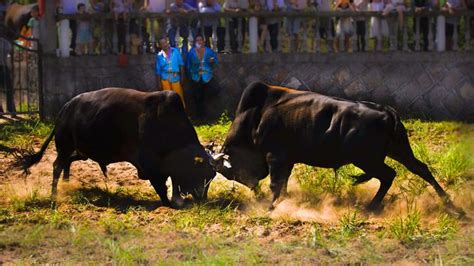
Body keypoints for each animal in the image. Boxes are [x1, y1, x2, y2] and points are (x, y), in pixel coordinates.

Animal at [14, 88, 215, 207]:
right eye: (202, 174)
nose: (203, 199)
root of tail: (66, 108)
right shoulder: (150, 166)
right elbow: (162, 186)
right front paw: (168, 202)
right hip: (65, 147)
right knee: (57, 166)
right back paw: (54, 194)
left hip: (81, 152)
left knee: (67, 163)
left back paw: (66, 184)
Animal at [215, 82, 456, 211]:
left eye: (233, 171)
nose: (254, 190)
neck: (256, 115)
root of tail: (387, 112)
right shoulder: (287, 160)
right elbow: (283, 184)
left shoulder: (275, 156)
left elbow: (276, 184)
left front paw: (271, 207)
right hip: (399, 151)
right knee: (420, 168)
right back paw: (449, 203)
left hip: (368, 160)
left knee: (389, 175)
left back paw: (371, 207)